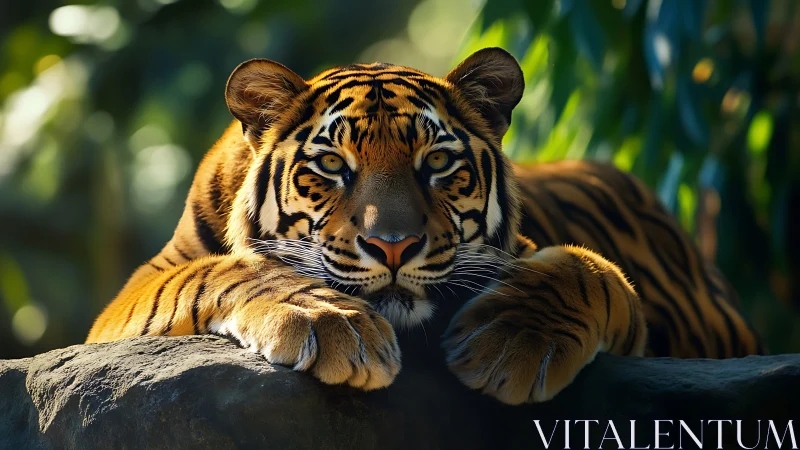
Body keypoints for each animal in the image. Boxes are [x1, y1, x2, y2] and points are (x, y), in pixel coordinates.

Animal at [86, 47, 763, 404]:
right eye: (332, 166)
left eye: (436, 163)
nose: (394, 246)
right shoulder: (133, 294)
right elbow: (220, 271)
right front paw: (329, 324)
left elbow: (582, 268)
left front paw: (511, 342)